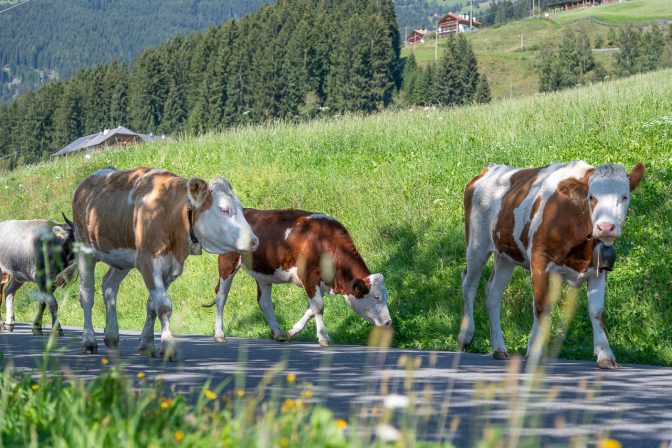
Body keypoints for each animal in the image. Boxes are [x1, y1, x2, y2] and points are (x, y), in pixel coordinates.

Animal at [72, 166, 258, 358]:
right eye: (224, 210)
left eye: (241, 208)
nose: (254, 241)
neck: (168, 213)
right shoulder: (147, 261)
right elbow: (163, 306)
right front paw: (168, 346)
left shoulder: (171, 269)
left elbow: (152, 306)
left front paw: (147, 344)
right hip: (84, 248)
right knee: (87, 295)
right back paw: (89, 341)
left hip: (121, 260)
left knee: (109, 286)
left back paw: (111, 335)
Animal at [202, 210, 392, 346]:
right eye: (376, 297)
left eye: (386, 296)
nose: (389, 322)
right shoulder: (308, 275)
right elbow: (318, 307)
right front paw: (323, 337)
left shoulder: (321, 283)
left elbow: (311, 309)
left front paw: (291, 333)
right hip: (228, 262)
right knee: (221, 297)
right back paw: (219, 334)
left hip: (264, 273)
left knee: (264, 302)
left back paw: (278, 333)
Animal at [456, 160, 644, 368]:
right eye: (591, 197)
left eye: (624, 196)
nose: (606, 228)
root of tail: (490, 169)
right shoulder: (539, 261)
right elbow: (541, 306)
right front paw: (534, 352)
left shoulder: (598, 270)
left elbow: (597, 311)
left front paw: (605, 355)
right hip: (477, 244)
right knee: (469, 284)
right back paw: (465, 336)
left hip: (505, 256)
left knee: (493, 293)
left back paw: (498, 347)